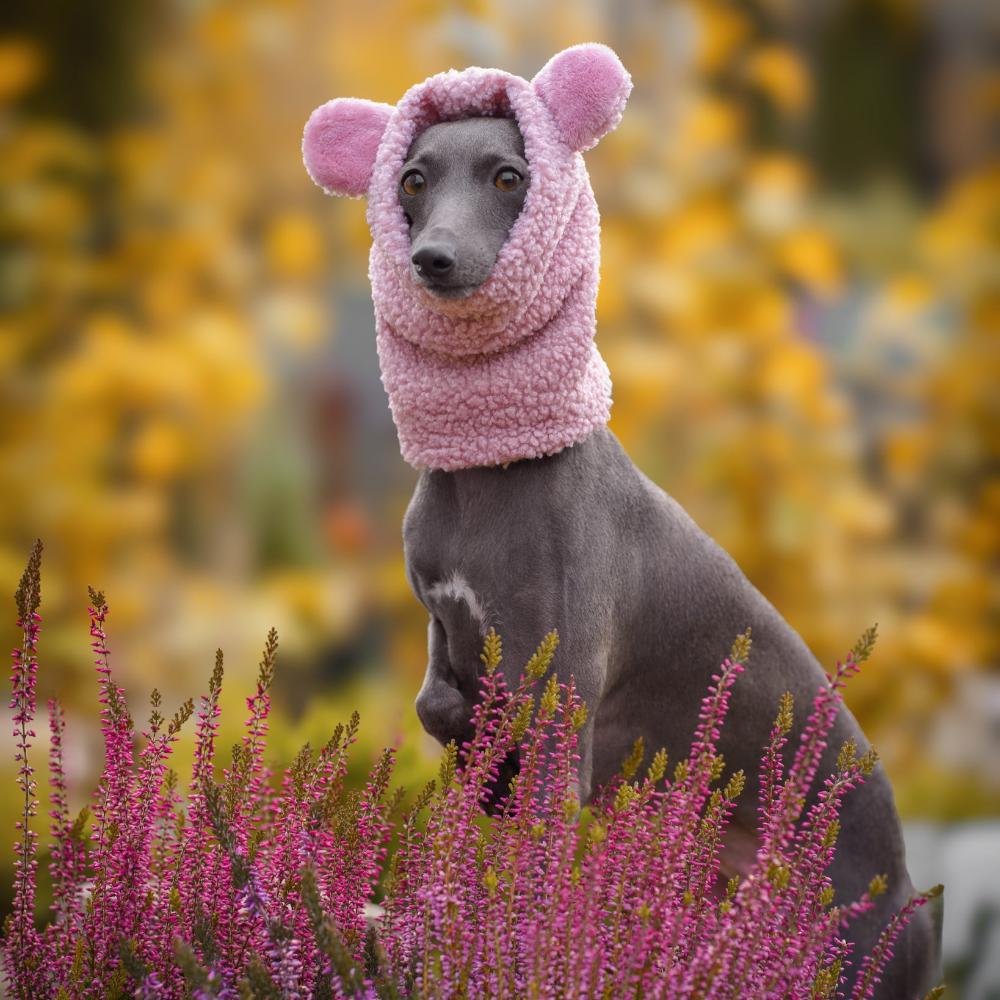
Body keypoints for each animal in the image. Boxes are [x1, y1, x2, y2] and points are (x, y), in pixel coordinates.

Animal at [300, 41, 940, 1000]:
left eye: (509, 175)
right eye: (412, 179)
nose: (433, 259)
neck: (490, 469)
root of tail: (907, 894)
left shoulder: (564, 695)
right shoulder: (447, 623)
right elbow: (437, 703)